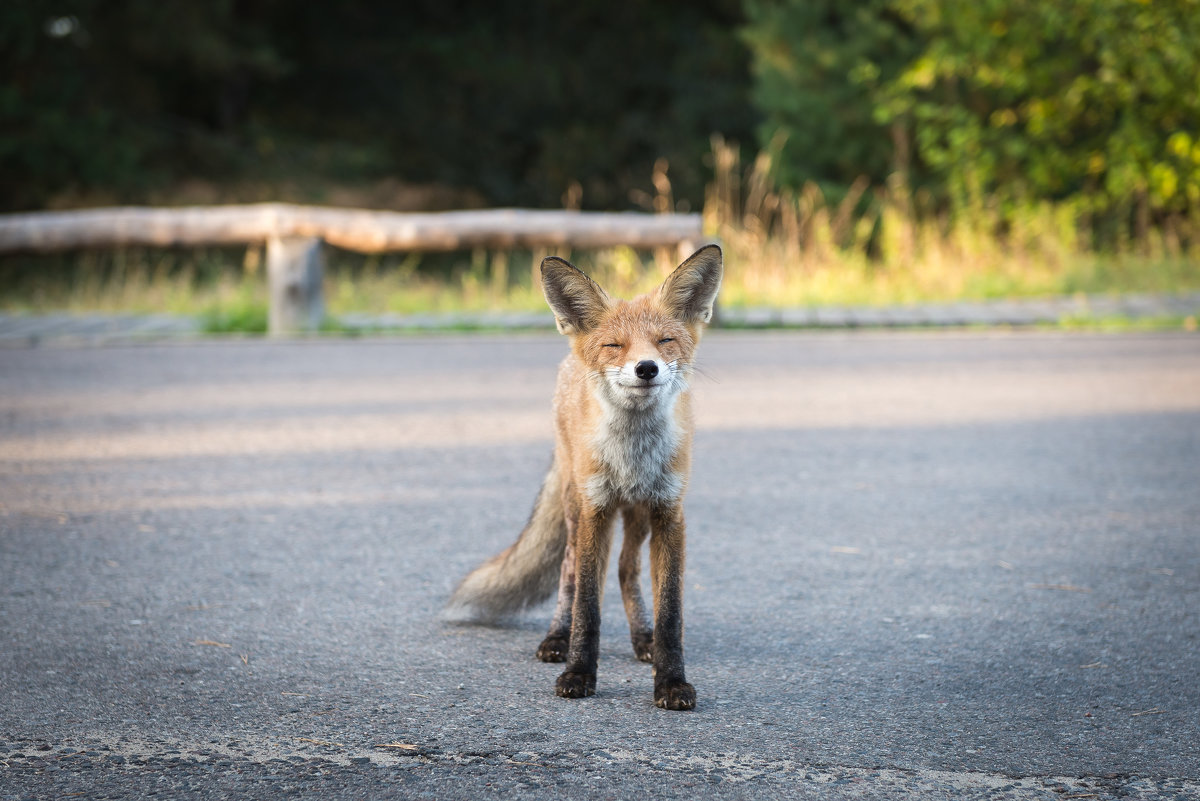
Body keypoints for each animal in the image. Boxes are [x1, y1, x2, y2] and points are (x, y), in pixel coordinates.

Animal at [444, 245, 715, 714]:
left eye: (664, 341)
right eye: (614, 345)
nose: (647, 368)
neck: (631, 456)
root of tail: (569, 358)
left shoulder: (669, 513)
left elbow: (671, 613)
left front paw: (671, 681)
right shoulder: (596, 510)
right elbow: (587, 604)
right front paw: (578, 673)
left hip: (637, 513)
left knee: (626, 570)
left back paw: (641, 638)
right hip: (575, 504)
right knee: (568, 573)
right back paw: (557, 637)